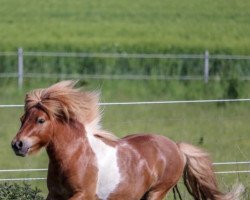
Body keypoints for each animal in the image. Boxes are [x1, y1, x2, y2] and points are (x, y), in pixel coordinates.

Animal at [11, 80, 242, 199]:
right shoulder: (55, 196)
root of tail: (176, 147)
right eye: (22, 119)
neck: (75, 156)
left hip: (156, 192)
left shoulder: (82, 195)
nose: (17, 145)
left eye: (40, 120)